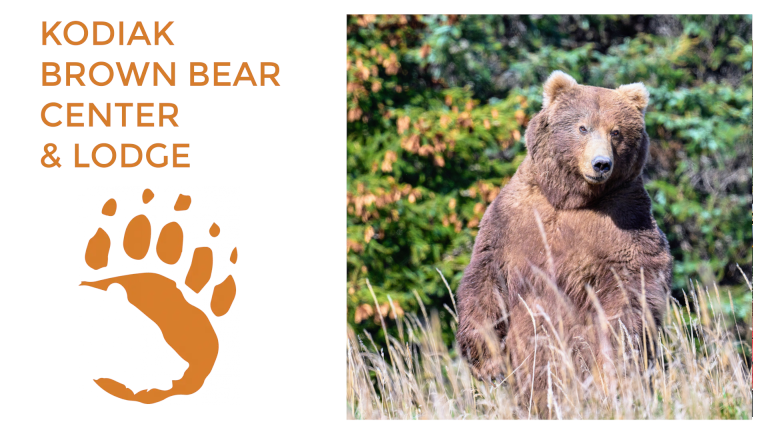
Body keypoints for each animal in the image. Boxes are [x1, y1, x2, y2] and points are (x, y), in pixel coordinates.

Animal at [456, 71, 672, 411]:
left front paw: (609, 370)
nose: (601, 164)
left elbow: (630, 292)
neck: (571, 198)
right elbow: (486, 276)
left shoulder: (625, 222)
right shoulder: (513, 218)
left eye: (616, 132)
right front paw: (487, 362)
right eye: (582, 127)